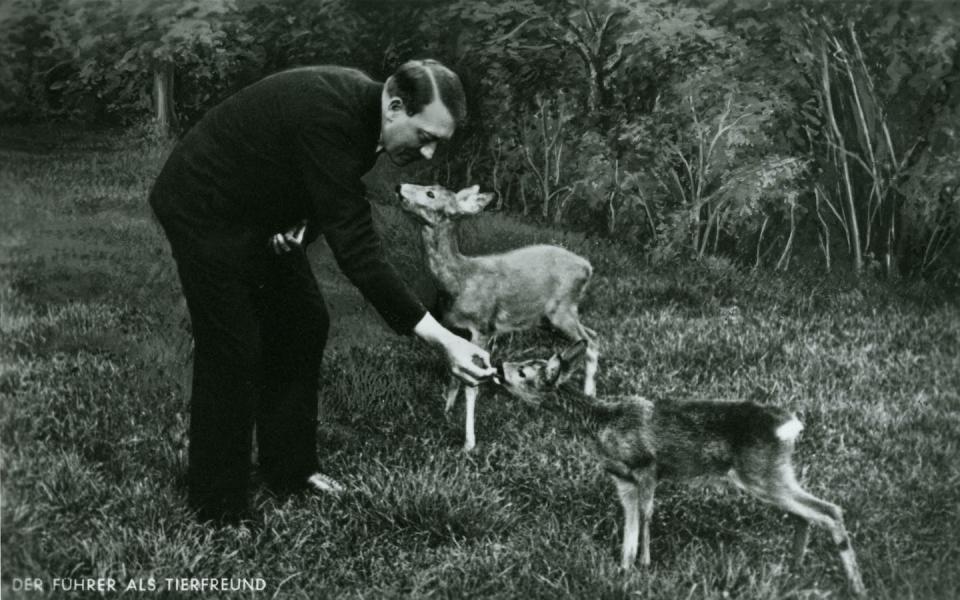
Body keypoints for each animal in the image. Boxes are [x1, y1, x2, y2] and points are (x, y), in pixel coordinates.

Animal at [394, 183, 596, 450]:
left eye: (431, 193)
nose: (399, 187)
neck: (460, 280)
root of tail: (588, 267)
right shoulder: (457, 330)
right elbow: (454, 375)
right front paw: (446, 411)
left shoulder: (483, 328)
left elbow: (471, 385)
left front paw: (469, 442)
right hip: (549, 318)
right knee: (591, 335)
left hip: (561, 310)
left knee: (591, 341)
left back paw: (589, 393)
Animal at [496, 340, 872, 596]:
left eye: (524, 371)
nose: (499, 365)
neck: (602, 422)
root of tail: (789, 426)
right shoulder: (622, 479)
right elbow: (629, 526)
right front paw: (624, 570)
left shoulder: (647, 465)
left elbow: (646, 516)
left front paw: (645, 565)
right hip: (772, 474)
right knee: (805, 513)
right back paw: (794, 570)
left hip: (762, 473)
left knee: (829, 510)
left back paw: (855, 586)